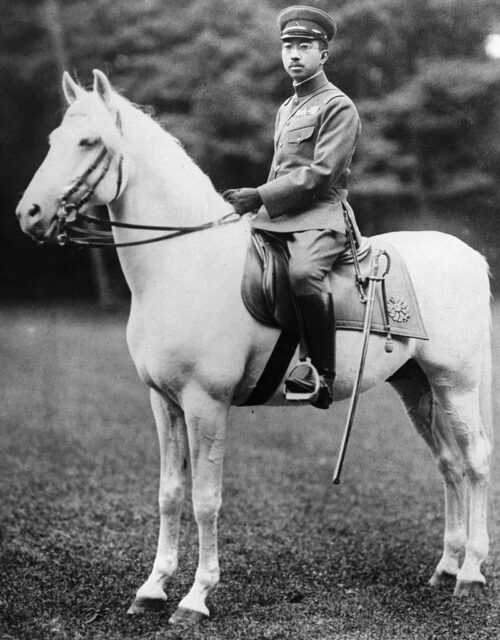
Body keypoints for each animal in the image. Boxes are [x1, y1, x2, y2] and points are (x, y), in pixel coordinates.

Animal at [15, 71, 492, 624]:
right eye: (55, 139)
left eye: (89, 142)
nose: (29, 214)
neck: (185, 262)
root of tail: (469, 255)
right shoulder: (164, 403)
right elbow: (169, 494)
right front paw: (152, 588)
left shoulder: (206, 404)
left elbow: (205, 498)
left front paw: (196, 597)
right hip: (417, 386)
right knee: (450, 464)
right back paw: (446, 568)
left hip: (457, 384)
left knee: (476, 460)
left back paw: (472, 572)